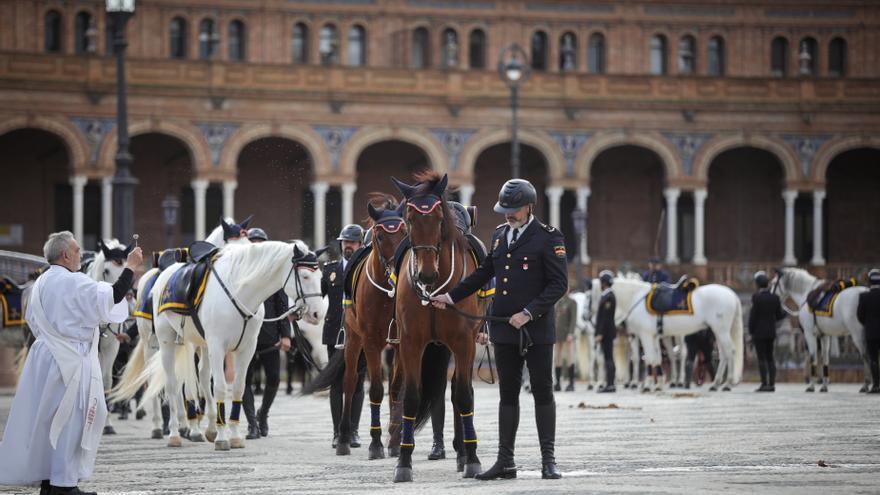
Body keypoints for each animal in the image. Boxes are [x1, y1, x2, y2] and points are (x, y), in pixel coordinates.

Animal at [392, 172, 488, 482]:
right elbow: (411, 397)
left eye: (438, 219)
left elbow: (464, 395)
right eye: (410, 218)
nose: (425, 273)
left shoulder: (463, 342)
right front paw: (404, 462)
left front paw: (472, 458)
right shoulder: (411, 342)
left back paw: (464, 452)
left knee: (460, 389)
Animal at [584, 280, 744, 392]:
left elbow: (649, 358)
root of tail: (732, 294)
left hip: (720, 330)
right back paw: (715, 383)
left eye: (588, 297)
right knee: (724, 354)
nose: (586, 317)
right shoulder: (654, 336)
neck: (635, 298)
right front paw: (659, 384)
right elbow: (657, 359)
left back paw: (727, 383)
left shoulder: (645, 335)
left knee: (730, 352)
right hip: (718, 331)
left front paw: (648, 385)